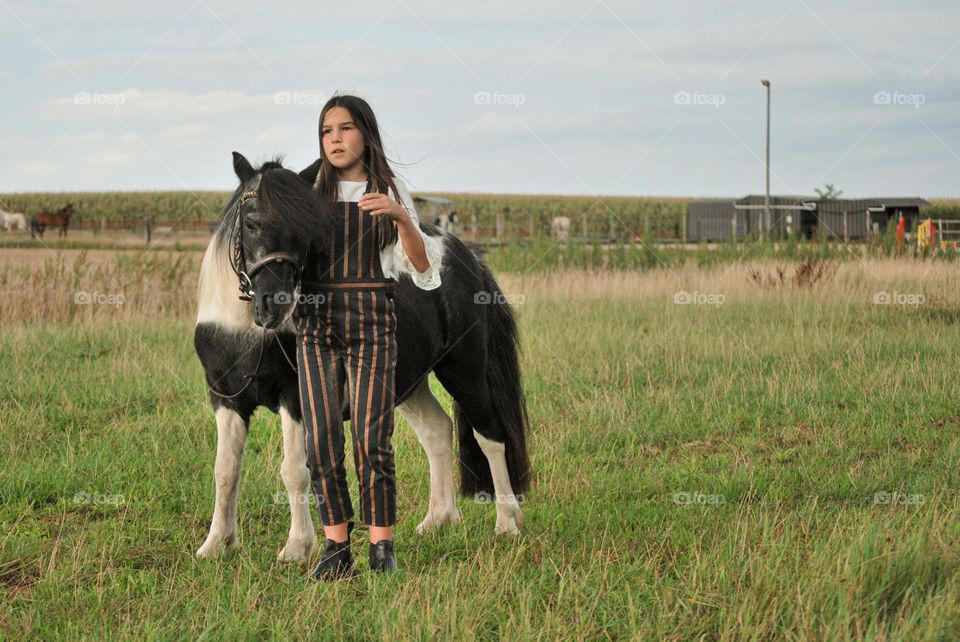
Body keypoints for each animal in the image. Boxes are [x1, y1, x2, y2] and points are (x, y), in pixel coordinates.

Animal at [191, 152, 528, 556]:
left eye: (306, 230)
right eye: (252, 222)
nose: (275, 304)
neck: (245, 333)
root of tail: (468, 258)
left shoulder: (296, 398)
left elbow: (294, 470)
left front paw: (297, 547)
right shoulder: (227, 399)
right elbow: (225, 470)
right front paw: (216, 544)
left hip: (465, 370)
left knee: (490, 435)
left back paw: (507, 523)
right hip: (408, 380)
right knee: (437, 431)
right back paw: (438, 520)